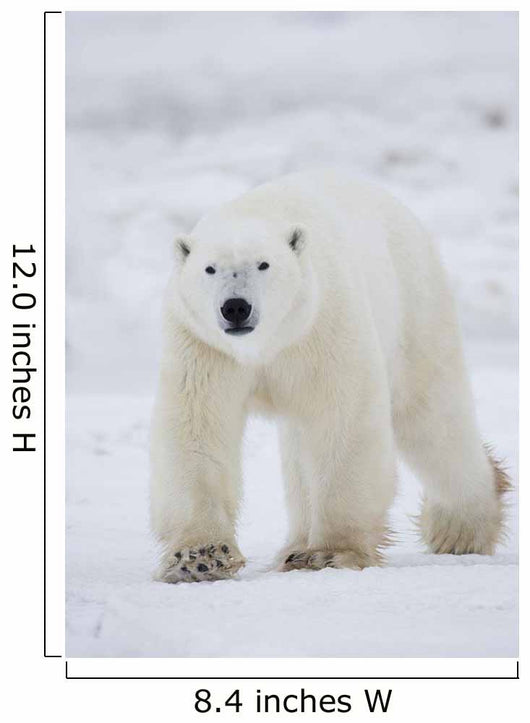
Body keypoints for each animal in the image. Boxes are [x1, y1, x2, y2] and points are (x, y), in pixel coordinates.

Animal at [150, 169, 509, 583]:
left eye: (264, 264)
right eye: (209, 269)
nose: (235, 307)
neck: (267, 344)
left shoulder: (323, 326)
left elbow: (342, 420)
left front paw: (329, 553)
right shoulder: (203, 347)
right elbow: (198, 430)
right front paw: (198, 559)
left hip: (414, 307)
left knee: (431, 419)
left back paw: (460, 529)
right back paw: (293, 547)